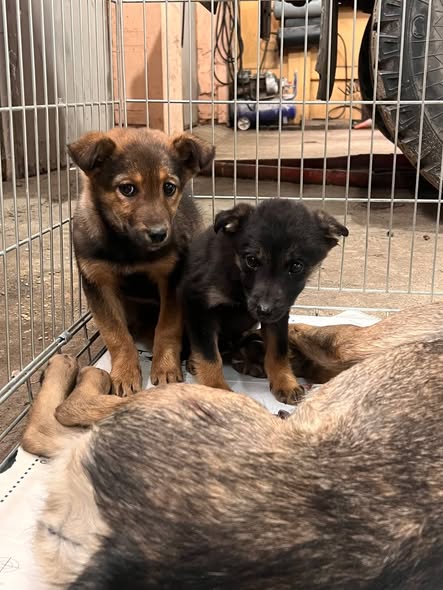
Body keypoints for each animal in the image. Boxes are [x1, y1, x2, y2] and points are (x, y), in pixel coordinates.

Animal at [22, 302, 443, 589]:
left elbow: (303, 331)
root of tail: (122, 548)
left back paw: (73, 368)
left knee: (59, 418)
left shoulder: (352, 342)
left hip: (194, 402)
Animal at [69, 127, 214, 396]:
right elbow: (115, 334)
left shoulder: (171, 277)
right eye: (127, 189)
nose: (159, 234)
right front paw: (125, 372)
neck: (127, 247)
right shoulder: (97, 283)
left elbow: (167, 327)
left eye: (169, 188)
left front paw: (166, 368)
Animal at [180, 199, 348, 404]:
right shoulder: (198, 306)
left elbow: (278, 350)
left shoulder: (279, 313)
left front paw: (285, 382)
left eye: (296, 266)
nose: (264, 310)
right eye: (251, 260)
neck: (239, 281)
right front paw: (216, 389)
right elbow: (209, 355)